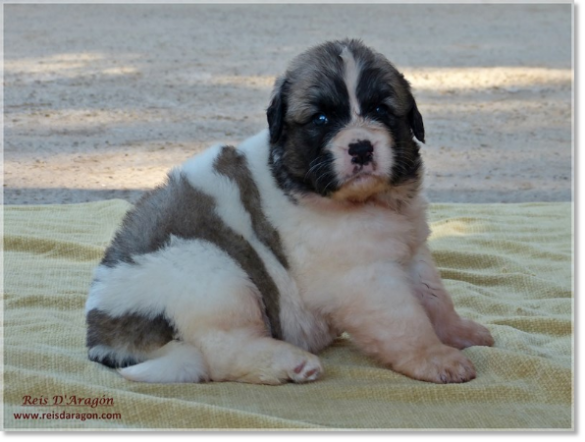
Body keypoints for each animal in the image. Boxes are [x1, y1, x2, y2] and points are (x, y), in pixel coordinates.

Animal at [83, 39, 492, 386]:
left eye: (380, 110)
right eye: (321, 119)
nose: (361, 148)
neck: (365, 201)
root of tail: (103, 334)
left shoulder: (411, 250)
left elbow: (434, 298)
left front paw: (460, 333)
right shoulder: (364, 278)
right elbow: (405, 319)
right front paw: (436, 357)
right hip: (210, 271)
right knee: (221, 352)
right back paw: (292, 363)